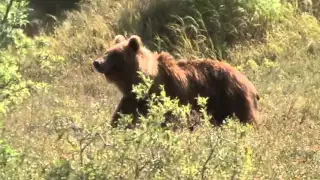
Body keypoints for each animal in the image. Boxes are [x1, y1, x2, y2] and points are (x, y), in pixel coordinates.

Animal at [93, 34, 260, 129]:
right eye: (107, 51)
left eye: (114, 54)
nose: (97, 62)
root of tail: (250, 84)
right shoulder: (132, 99)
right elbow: (121, 117)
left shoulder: (168, 94)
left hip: (233, 97)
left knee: (247, 119)